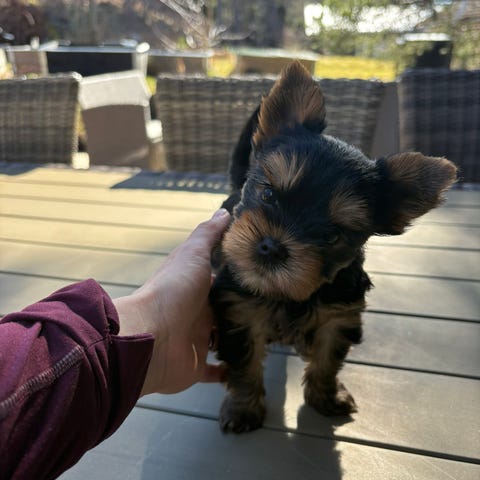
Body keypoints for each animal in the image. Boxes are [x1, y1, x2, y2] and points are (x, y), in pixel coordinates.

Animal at [209, 61, 457, 433]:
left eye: (332, 236)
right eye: (268, 194)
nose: (271, 247)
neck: (291, 295)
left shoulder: (339, 317)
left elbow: (327, 359)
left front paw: (327, 396)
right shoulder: (238, 311)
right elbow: (244, 365)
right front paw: (243, 407)